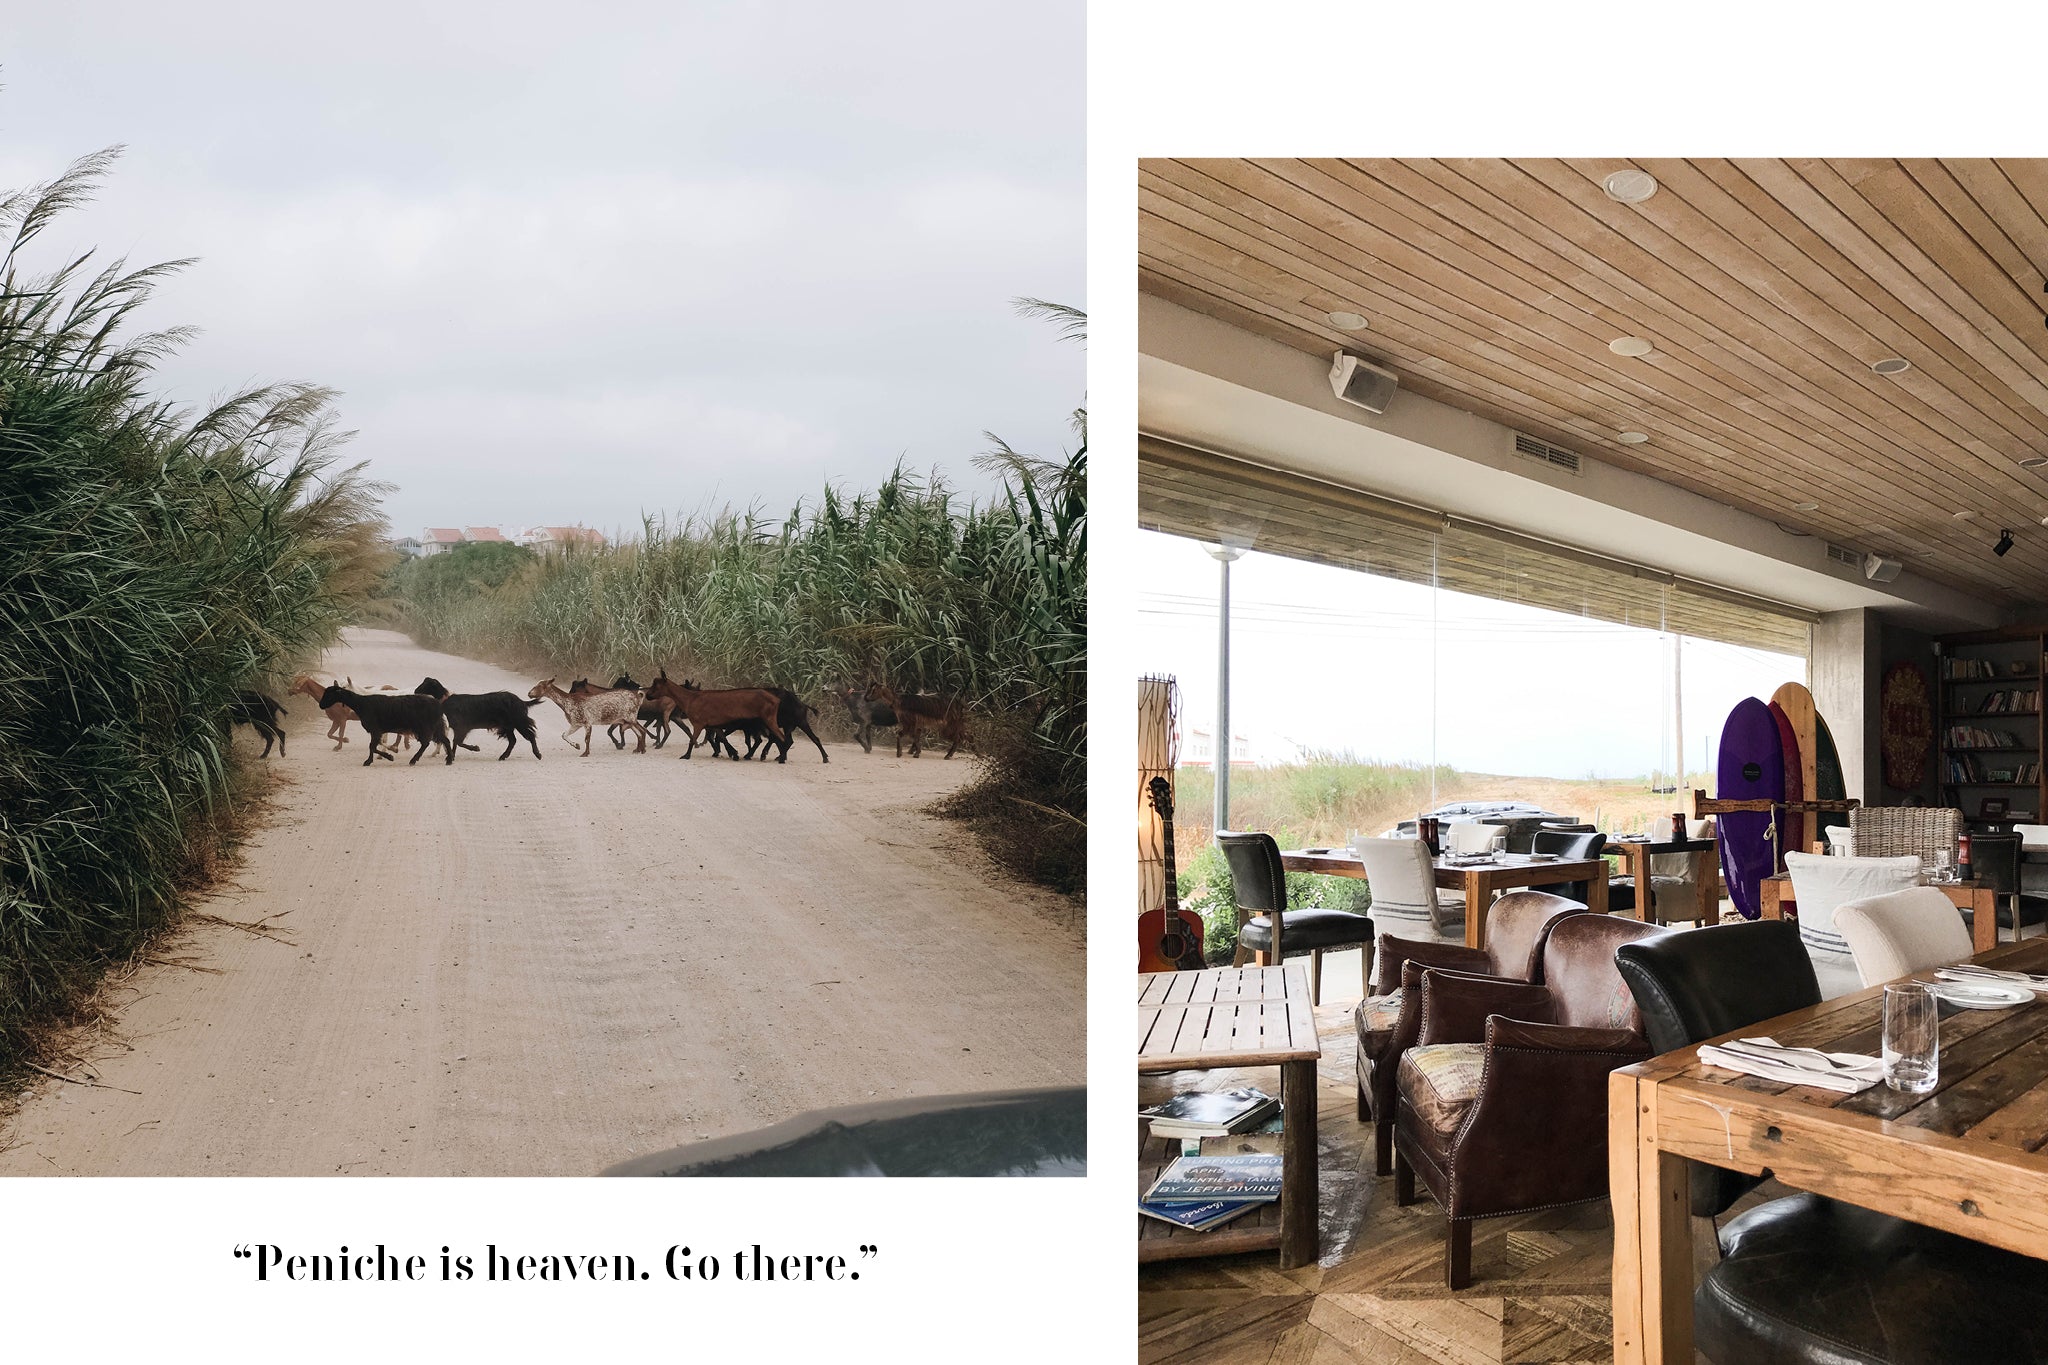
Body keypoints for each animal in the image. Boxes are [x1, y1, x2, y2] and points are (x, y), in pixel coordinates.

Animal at [317, 683, 454, 769]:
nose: (321, 705)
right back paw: (449, 760)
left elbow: (372, 746)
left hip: (425, 727)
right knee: (444, 740)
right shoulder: (376, 730)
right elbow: (374, 745)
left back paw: (414, 760)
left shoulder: (375, 729)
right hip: (434, 726)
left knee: (427, 743)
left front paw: (380, 758)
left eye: (329, 694)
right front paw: (384, 756)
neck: (361, 704)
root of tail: (437, 704)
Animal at [413, 679, 544, 765]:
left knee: (530, 736)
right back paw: (503, 756)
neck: (447, 699)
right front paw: (451, 757)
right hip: (507, 726)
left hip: (519, 722)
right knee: (513, 740)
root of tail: (522, 702)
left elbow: (458, 742)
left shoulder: (462, 728)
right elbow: (455, 742)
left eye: (426, 684)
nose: (415, 691)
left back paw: (538, 754)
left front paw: (475, 748)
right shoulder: (458, 728)